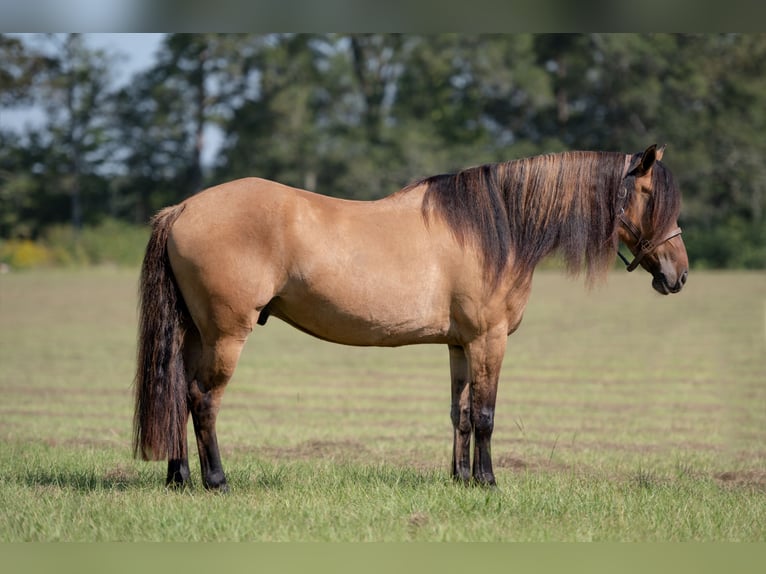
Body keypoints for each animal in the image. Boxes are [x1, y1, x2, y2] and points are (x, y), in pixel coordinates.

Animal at [135, 144, 692, 490]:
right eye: (649, 196)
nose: (679, 273)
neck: (496, 227)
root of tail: (182, 209)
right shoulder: (489, 340)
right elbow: (486, 414)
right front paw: (489, 482)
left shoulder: (460, 344)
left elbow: (460, 413)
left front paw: (461, 480)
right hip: (226, 334)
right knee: (203, 399)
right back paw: (216, 480)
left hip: (194, 334)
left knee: (178, 392)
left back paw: (179, 478)